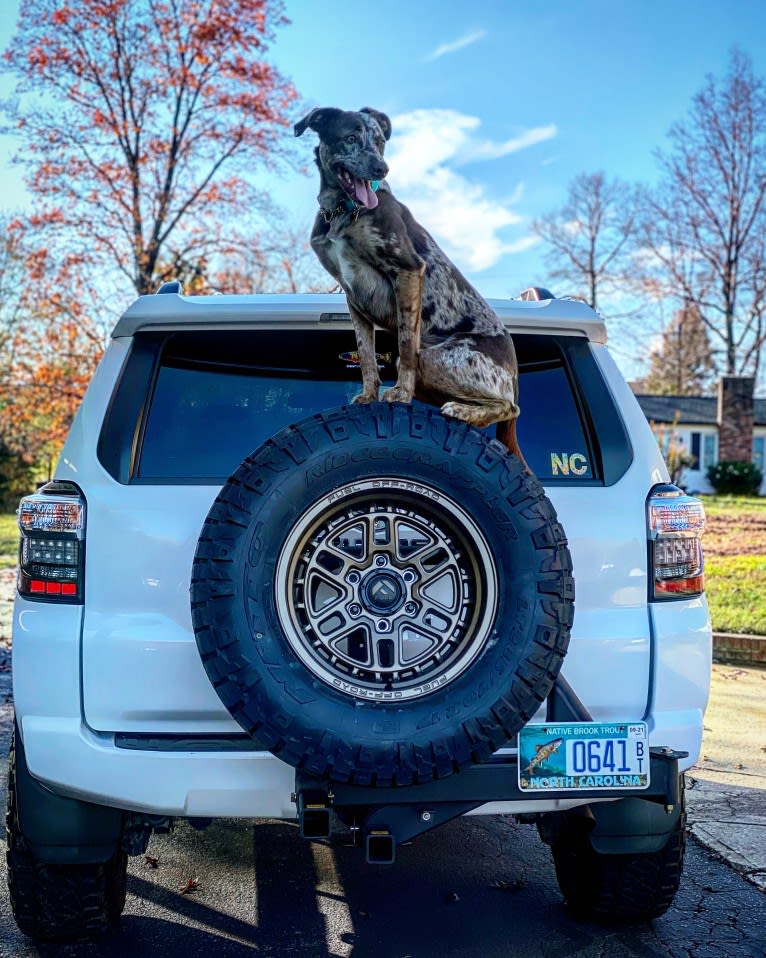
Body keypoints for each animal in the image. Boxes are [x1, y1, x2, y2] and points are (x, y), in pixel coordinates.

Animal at [294, 107, 528, 466]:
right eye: (351, 137)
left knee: (508, 406)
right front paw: (369, 395)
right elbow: (365, 355)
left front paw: (400, 394)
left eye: (380, 141)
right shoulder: (352, 298)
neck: (344, 211)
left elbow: (405, 346)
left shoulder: (407, 270)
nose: (382, 168)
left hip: (437, 359)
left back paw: (462, 410)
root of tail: (514, 376)